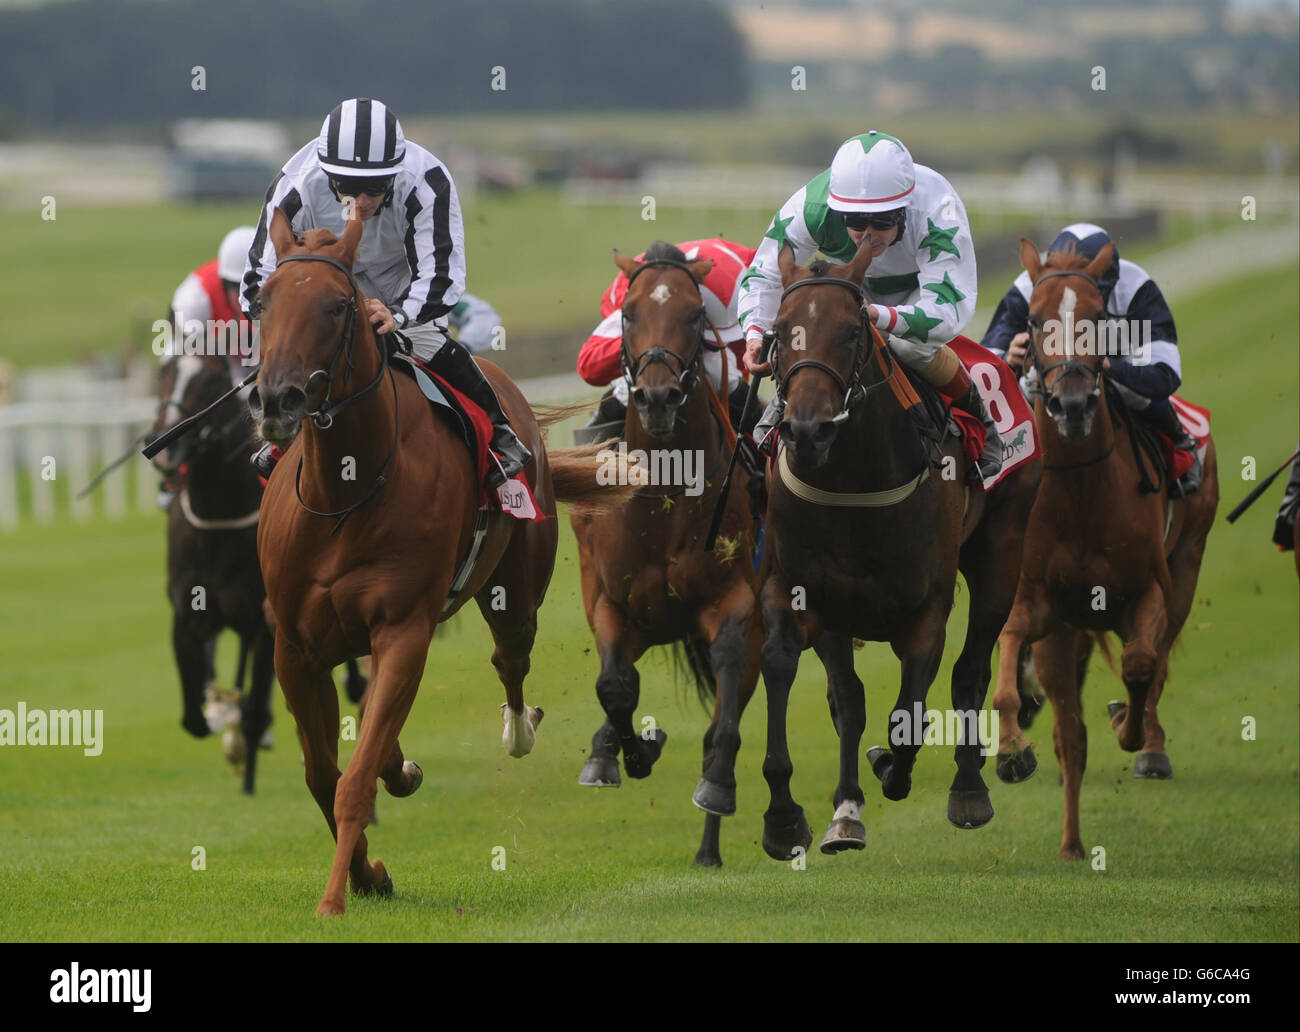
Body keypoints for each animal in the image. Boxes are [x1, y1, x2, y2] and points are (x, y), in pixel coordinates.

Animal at [250, 215, 621, 909]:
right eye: (263, 302)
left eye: (336, 305)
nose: (277, 400)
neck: (345, 493)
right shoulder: (295, 646)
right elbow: (322, 774)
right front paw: (366, 874)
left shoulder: (404, 629)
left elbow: (352, 781)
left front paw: (336, 897)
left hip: (514, 594)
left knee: (510, 660)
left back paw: (516, 729)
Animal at [569, 241, 759, 863]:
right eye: (628, 315)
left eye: (695, 316)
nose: (655, 397)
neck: (666, 489)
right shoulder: (610, 602)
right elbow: (613, 685)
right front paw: (626, 753)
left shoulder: (736, 599)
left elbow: (724, 702)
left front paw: (715, 788)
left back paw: (710, 844)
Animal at [759, 239, 1040, 852]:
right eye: (781, 330)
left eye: (850, 331)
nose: (807, 431)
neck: (853, 484)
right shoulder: (805, 594)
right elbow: (809, 681)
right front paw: (798, 815)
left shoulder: (926, 608)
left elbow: (907, 716)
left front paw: (893, 767)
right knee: (854, 696)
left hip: (1001, 555)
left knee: (970, 670)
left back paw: (968, 787)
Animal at [993, 237, 1216, 857]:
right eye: (1032, 319)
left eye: (1097, 317)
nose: (1071, 403)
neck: (1081, 492)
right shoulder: (1040, 607)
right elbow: (1008, 655)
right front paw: (1012, 748)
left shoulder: (1149, 593)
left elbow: (1142, 667)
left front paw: (1132, 728)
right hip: (1065, 634)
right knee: (1071, 735)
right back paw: (1071, 842)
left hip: (1186, 566)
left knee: (1153, 668)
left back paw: (1147, 743)